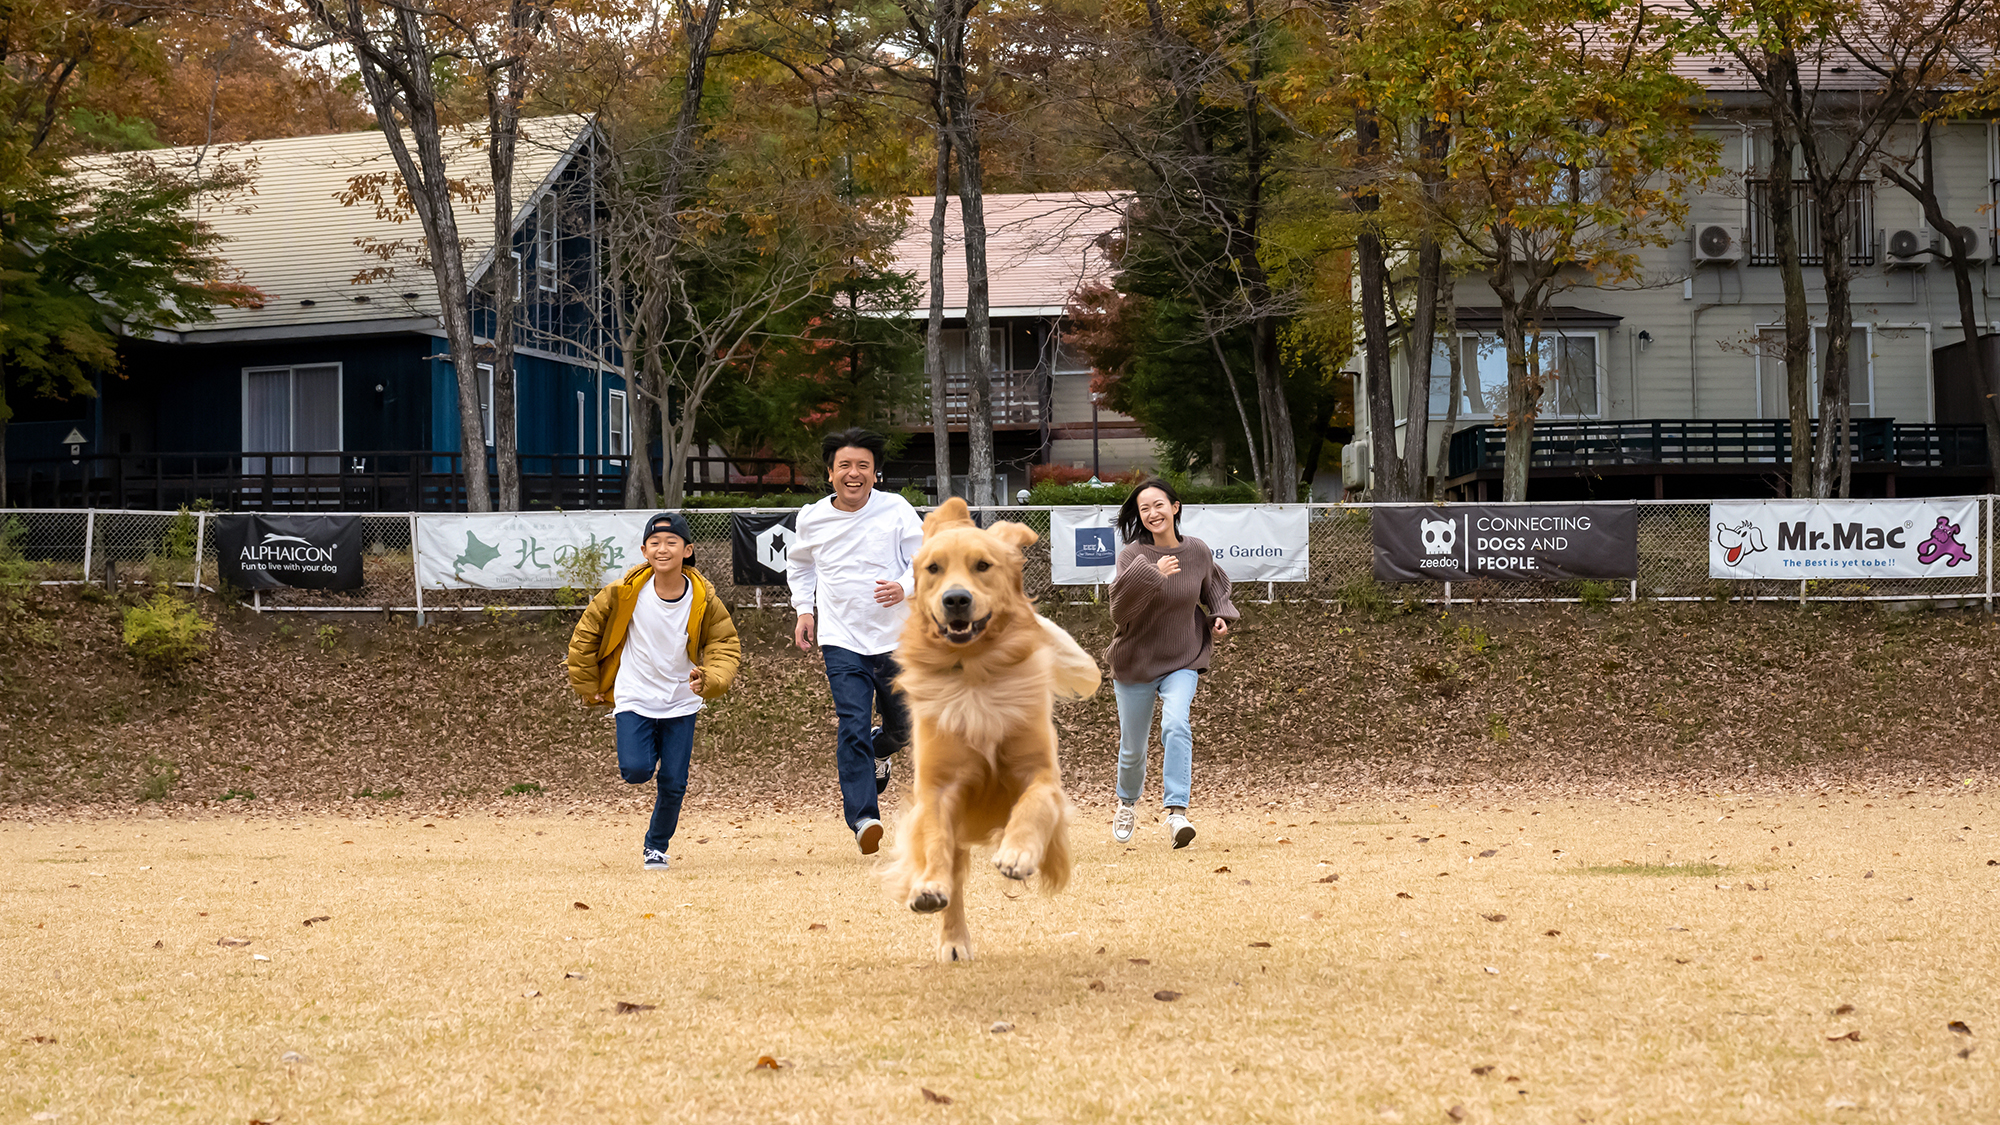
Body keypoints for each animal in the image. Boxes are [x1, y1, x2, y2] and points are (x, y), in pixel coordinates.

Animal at [896, 494, 1112, 960]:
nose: (956, 600)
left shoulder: (1042, 774)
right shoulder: (937, 788)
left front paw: (1018, 854)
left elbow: (1032, 807)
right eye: (933, 568)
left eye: (982, 565)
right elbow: (935, 841)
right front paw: (928, 886)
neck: (975, 674)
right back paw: (954, 940)